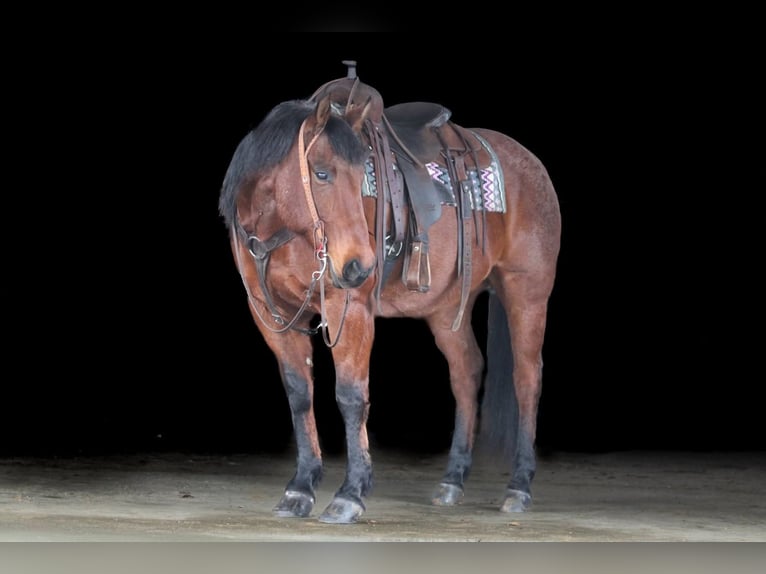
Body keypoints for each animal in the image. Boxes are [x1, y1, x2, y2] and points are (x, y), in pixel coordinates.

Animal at [218, 61, 561, 524]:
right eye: (321, 172)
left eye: (361, 173)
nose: (359, 265)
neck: (283, 232)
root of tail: (531, 163)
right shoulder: (271, 316)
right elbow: (300, 395)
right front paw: (300, 488)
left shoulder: (349, 309)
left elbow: (351, 396)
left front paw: (350, 493)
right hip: (447, 309)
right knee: (466, 373)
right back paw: (452, 481)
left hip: (527, 292)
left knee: (526, 378)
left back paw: (519, 486)